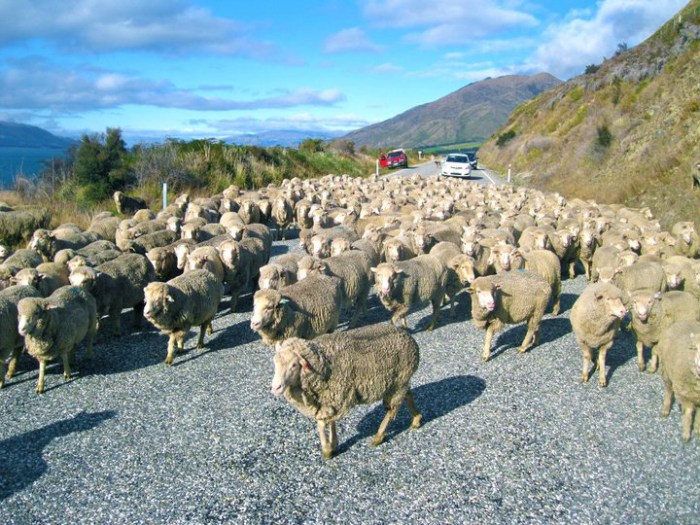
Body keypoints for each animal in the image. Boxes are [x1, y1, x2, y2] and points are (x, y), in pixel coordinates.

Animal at [271, 323, 421, 459]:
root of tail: (408, 336)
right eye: (275, 363)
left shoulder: (336, 396)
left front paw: (327, 451)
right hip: (398, 382)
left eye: (294, 365)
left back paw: (378, 437)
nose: (275, 387)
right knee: (407, 395)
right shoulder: (330, 400)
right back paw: (416, 419)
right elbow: (329, 422)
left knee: (392, 409)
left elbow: (321, 424)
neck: (325, 362)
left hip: (398, 383)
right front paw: (333, 445)